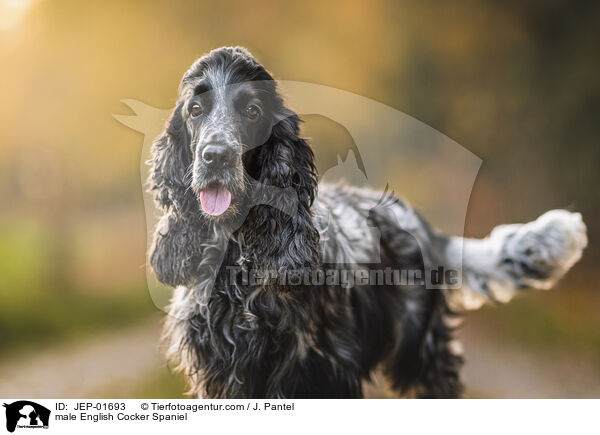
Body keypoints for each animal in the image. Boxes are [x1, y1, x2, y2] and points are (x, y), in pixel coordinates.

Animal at [149, 46, 584, 398]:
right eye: (195, 110)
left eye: (251, 110)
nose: (215, 157)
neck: (238, 261)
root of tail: (427, 230)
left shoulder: (321, 374)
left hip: (421, 357)